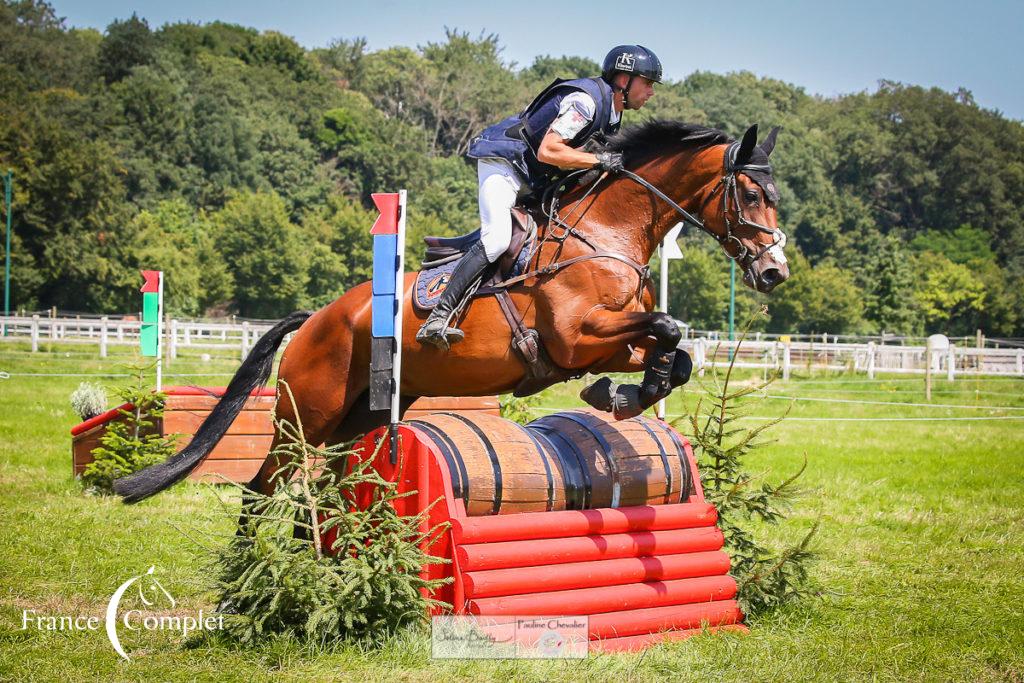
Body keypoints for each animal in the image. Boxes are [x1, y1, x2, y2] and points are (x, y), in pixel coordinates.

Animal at [119, 121, 790, 501]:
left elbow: (674, 350)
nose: (775, 272)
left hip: (360, 415)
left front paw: (623, 395)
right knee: (261, 486)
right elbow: (668, 328)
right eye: (751, 193)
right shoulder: (576, 339)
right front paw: (622, 396)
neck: (606, 232)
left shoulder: (608, 343)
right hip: (305, 412)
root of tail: (316, 318)